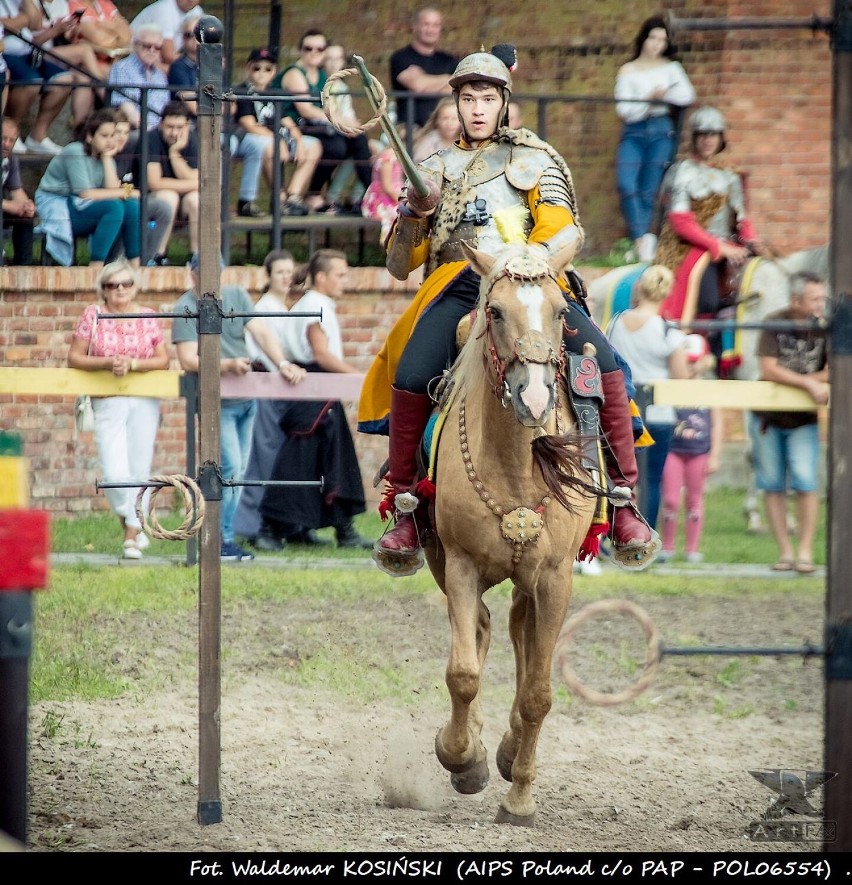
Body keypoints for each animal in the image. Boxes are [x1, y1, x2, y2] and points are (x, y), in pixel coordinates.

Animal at [426, 240, 600, 820]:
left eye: (562, 311)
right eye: (496, 311)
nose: (535, 398)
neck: (515, 466)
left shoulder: (555, 579)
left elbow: (539, 694)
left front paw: (519, 796)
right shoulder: (459, 564)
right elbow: (463, 674)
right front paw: (461, 758)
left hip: (534, 580)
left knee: (522, 639)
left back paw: (508, 748)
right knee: (482, 629)